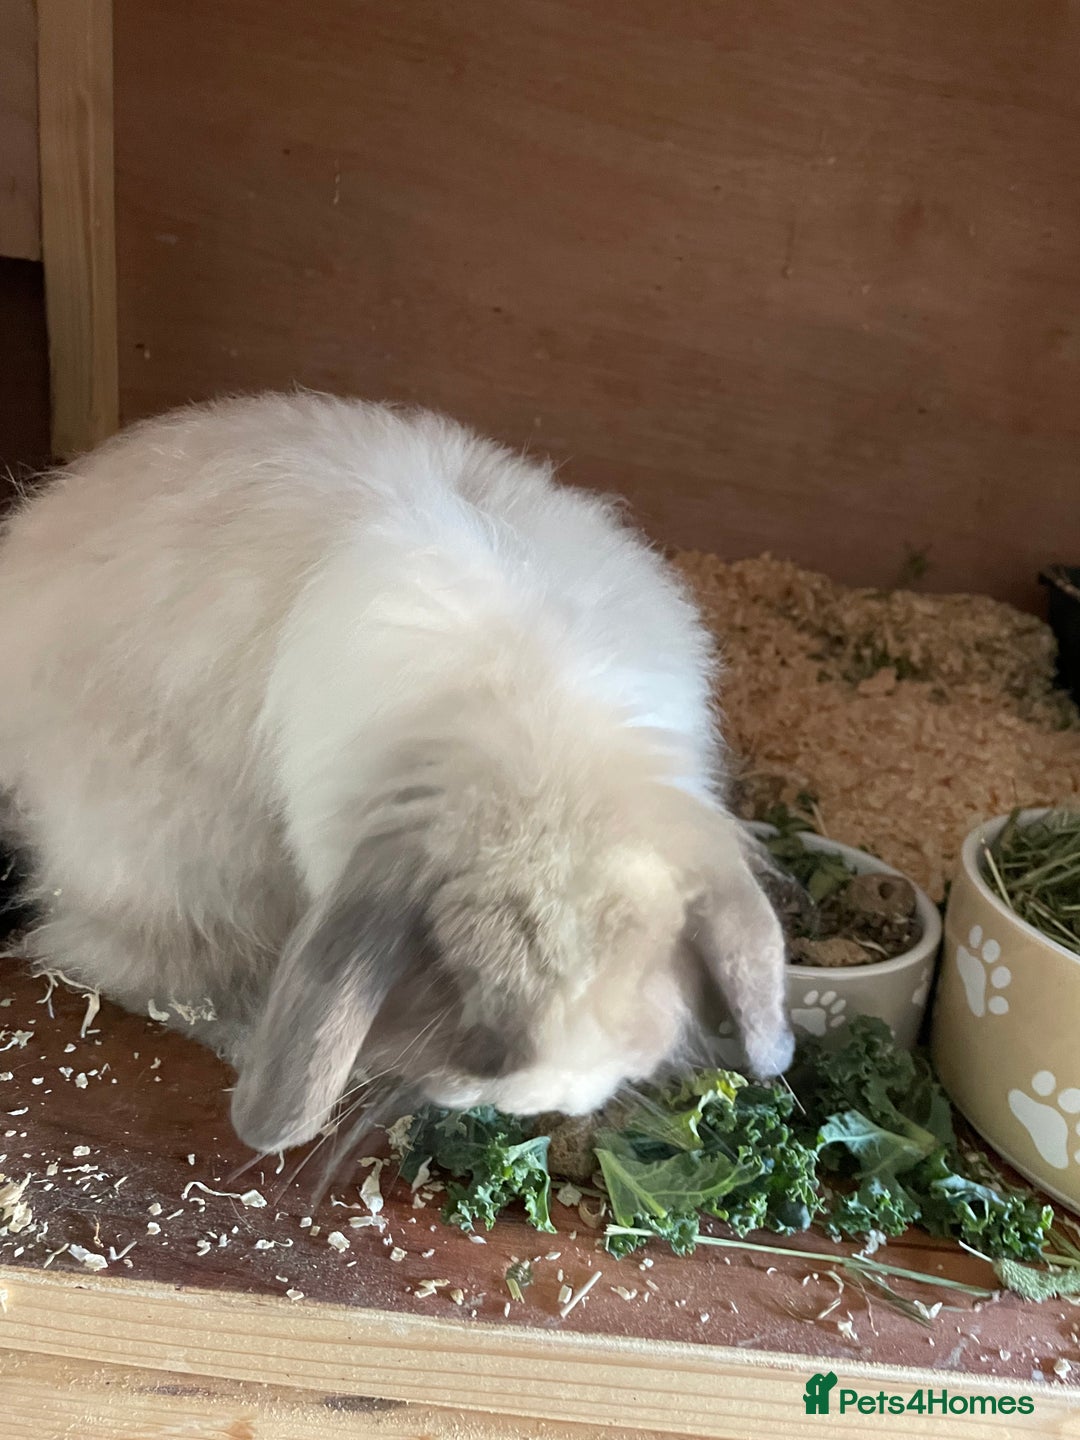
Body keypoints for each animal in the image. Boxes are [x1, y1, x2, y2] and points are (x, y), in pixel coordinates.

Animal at [0, 392, 794, 1154]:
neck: (542, 741)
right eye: (453, 968)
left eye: (645, 964)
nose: (546, 1097)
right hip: (178, 869)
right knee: (118, 963)